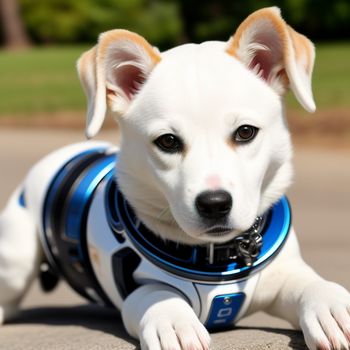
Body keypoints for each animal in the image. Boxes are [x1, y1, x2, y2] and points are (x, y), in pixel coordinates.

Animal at [0, 7, 350, 350]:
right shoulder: (135, 288)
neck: (216, 255)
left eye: (245, 132)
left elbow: (315, 284)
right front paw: (175, 322)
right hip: (18, 260)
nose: (214, 204)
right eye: (168, 141)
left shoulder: (284, 276)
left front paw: (333, 307)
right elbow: (159, 295)